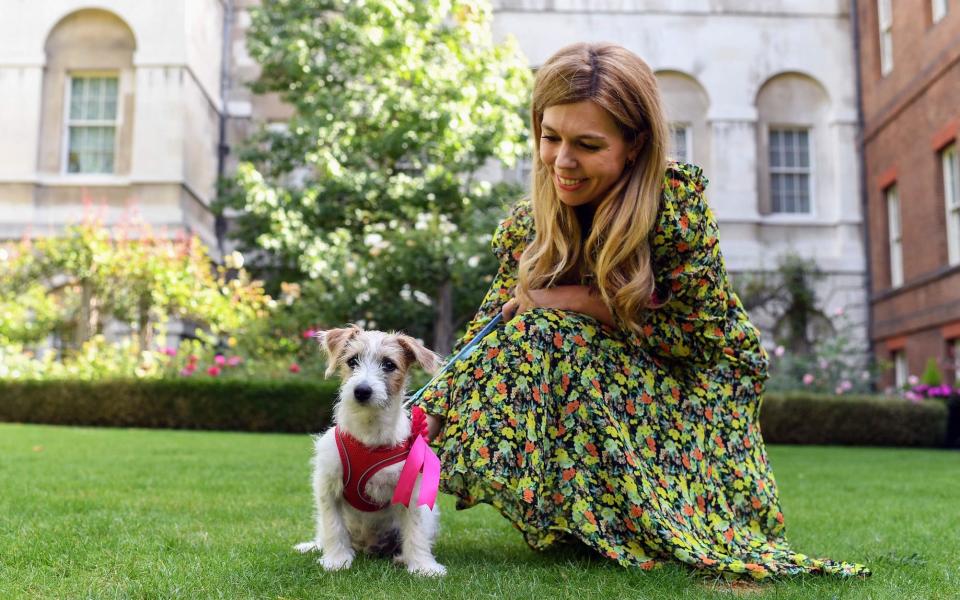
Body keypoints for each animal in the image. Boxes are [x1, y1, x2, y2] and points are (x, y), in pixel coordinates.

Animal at [292, 328, 446, 576]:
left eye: (389, 364)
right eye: (352, 361)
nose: (362, 391)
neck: (368, 433)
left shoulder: (412, 491)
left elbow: (416, 530)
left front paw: (423, 566)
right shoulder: (328, 486)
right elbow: (333, 526)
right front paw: (336, 560)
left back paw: (401, 557)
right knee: (324, 532)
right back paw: (313, 546)